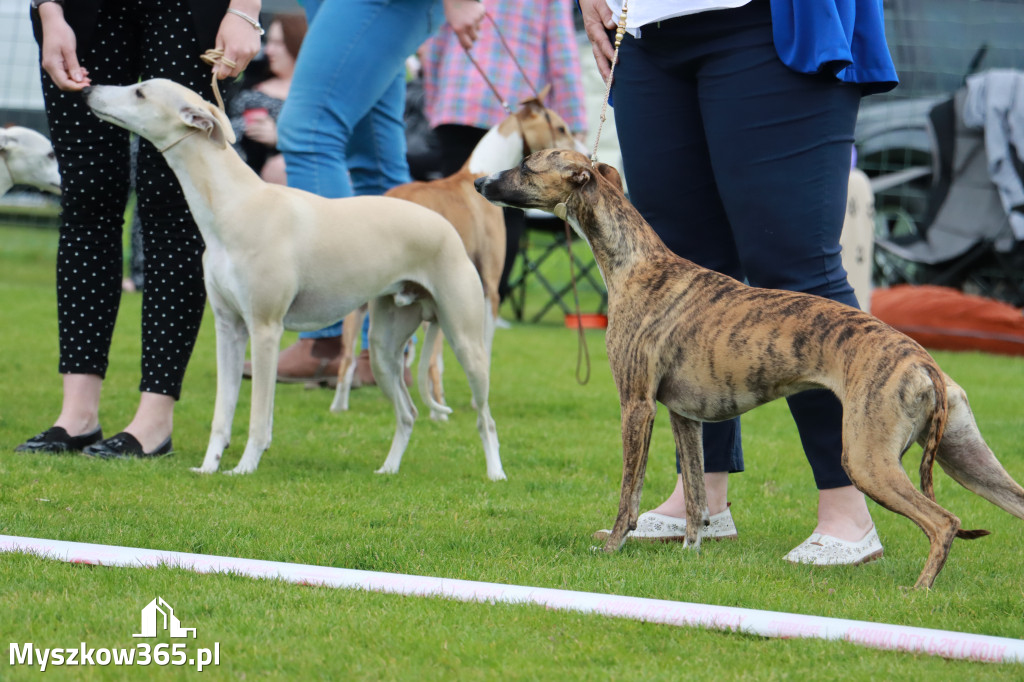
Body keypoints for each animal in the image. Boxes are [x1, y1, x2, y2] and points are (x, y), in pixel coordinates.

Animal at [84, 78, 503, 477]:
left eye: (140, 93)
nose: (87, 88)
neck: (236, 204)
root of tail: (446, 228)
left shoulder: (265, 329)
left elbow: (259, 417)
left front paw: (244, 467)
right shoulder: (228, 330)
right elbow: (222, 414)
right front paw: (208, 466)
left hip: (467, 342)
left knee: (486, 418)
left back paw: (495, 473)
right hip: (385, 348)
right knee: (408, 413)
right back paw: (389, 469)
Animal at [475, 150, 1024, 589]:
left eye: (527, 166)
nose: (479, 182)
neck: (637, 263)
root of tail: (923, 362)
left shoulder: (637, 406)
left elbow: (629, 493)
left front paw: (611, 547)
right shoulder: (684, 416)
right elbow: (697, 495)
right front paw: (690, 551)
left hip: (869, 460)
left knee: (943, 521)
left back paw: (919, 591)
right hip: (966, 455)